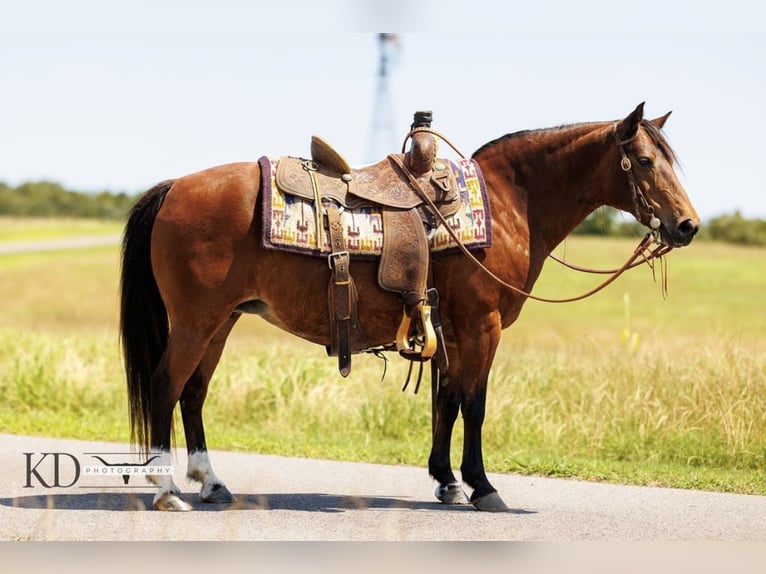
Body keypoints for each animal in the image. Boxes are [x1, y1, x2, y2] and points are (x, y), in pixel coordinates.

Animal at [120, 102, 699, 511]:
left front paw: (446, 480)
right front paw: (482, 486)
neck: (509, 205)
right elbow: (474, 404)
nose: (688, 225)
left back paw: (211, 482)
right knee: (166, 387)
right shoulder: (482, 326)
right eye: (644, 161)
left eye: (672, 160)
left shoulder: (451, 330)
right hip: (196, 322)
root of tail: (174, 187)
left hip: (221, 322)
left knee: (193, 394)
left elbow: (447, 401)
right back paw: (166, 488)